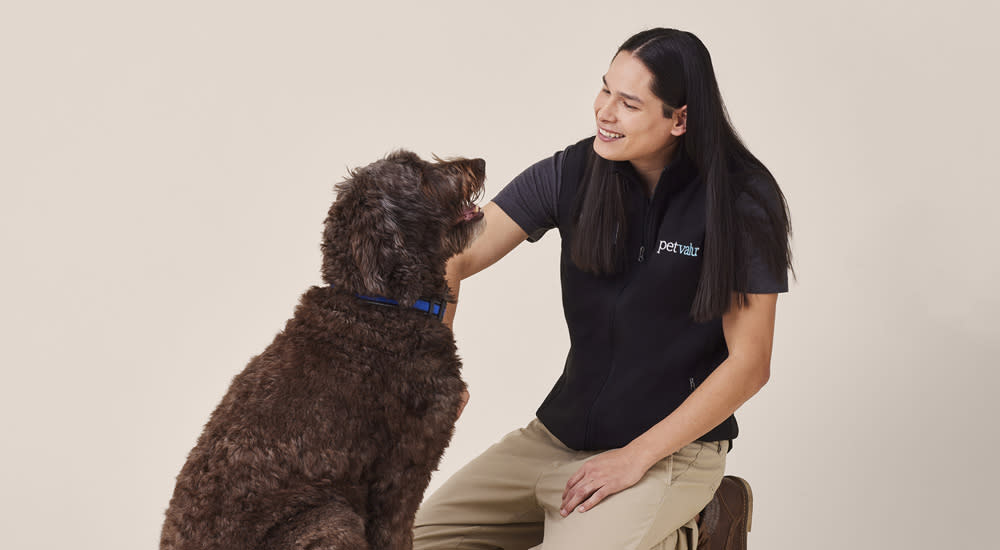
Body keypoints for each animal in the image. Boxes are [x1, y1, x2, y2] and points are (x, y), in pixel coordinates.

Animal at [161, 152, 488, 550]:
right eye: (418, 172)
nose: (479, 162)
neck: (378, 305)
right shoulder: (404, 469)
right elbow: (396, 533)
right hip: (331, 517)